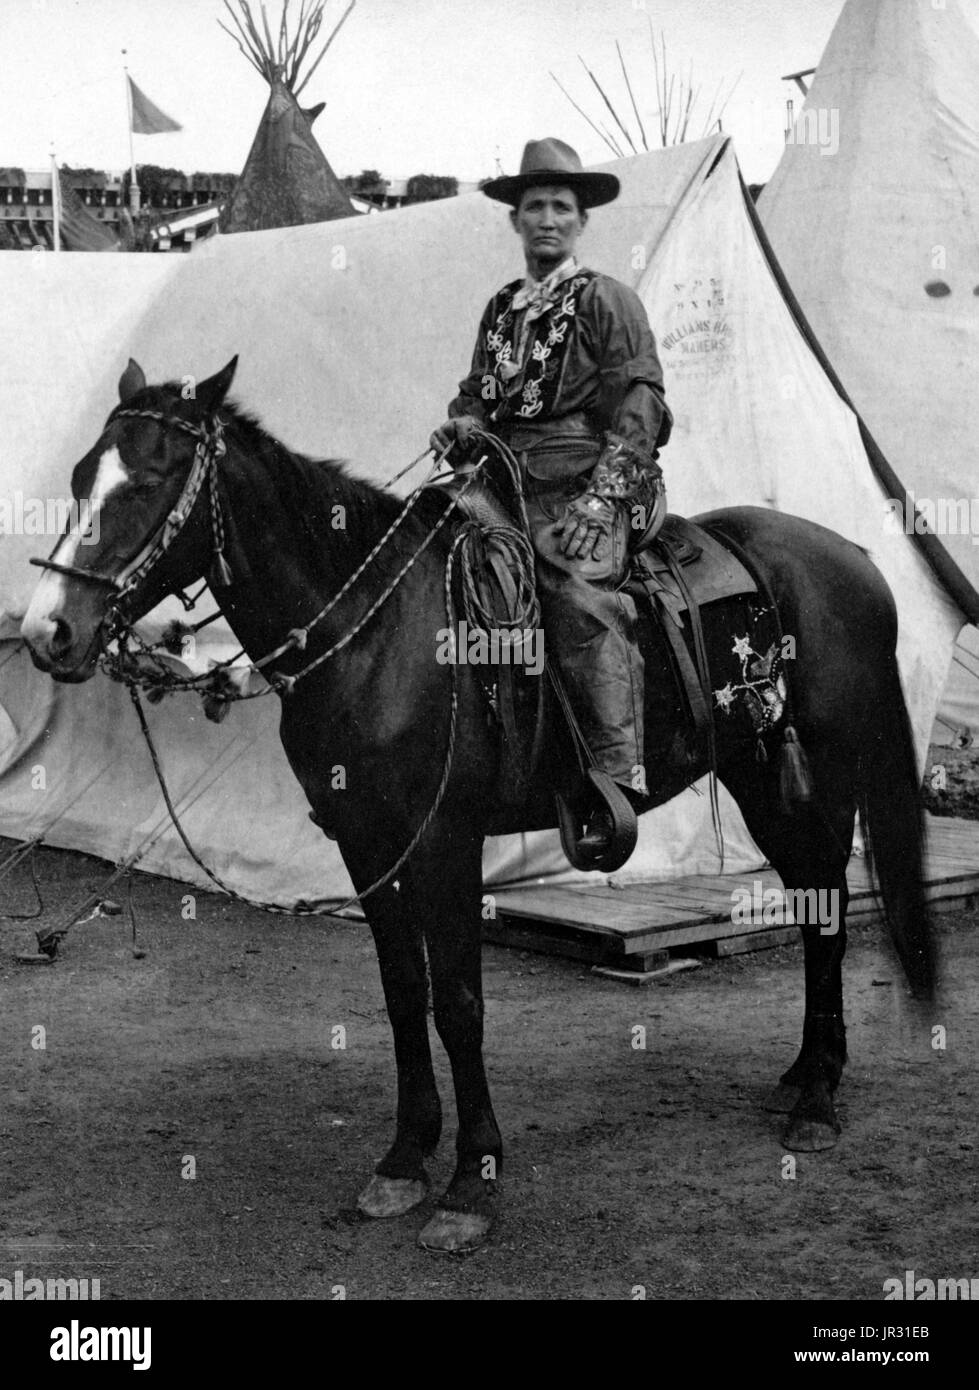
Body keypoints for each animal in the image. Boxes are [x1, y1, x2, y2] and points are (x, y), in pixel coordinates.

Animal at [21, 364, 934, 1256]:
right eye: (79, 478)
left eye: (150, 481)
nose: (47, 633)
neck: (374, 633)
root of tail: (852, 558)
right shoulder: (367, 845)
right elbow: (402, 993)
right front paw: (402, 1159)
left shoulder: (444, 843)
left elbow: (459, 1005)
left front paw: (470, 1183)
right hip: (757, 773)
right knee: (817, 901)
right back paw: (805, 1075)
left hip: (819, 775)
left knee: (829, 907)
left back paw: (816, 1103)